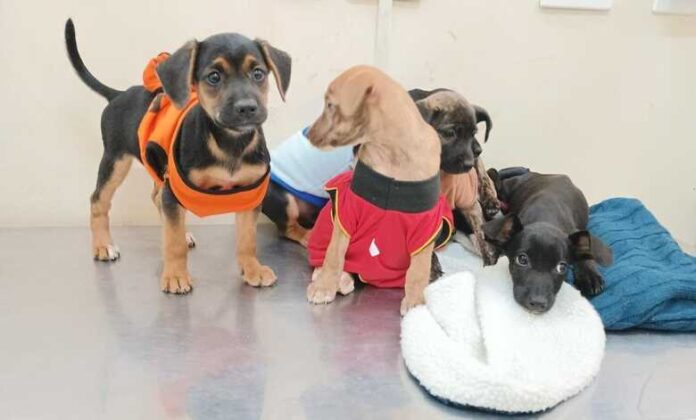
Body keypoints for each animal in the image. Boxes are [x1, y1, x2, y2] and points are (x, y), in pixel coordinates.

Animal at [64, 19, 291, 293]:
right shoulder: (174, 190)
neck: (229, 142)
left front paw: (252, 269)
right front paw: (175, 275)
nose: (247, 108)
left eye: (258, 73)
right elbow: (173, 243)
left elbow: (248, 239)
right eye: (214, 77)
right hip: (115, 161)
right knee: (99, 201)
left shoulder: (250, 193)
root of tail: (118, 95)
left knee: (156, 198)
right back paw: (102, 245)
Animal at [303, 65, 454, 315]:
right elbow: (334, 255)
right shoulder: (348, 210)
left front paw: (415, 302)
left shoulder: (426, 224)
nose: (308, 135)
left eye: (330, 105)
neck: (392, 153)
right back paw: (337, 279)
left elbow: (419, 269)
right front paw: (324, 287)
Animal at [482, 171, 613, 313]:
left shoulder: (574, 230)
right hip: (505, 190)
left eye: (562, 267)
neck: (545, 218)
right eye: (522, 260)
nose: (538, 303)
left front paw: (589, 275)